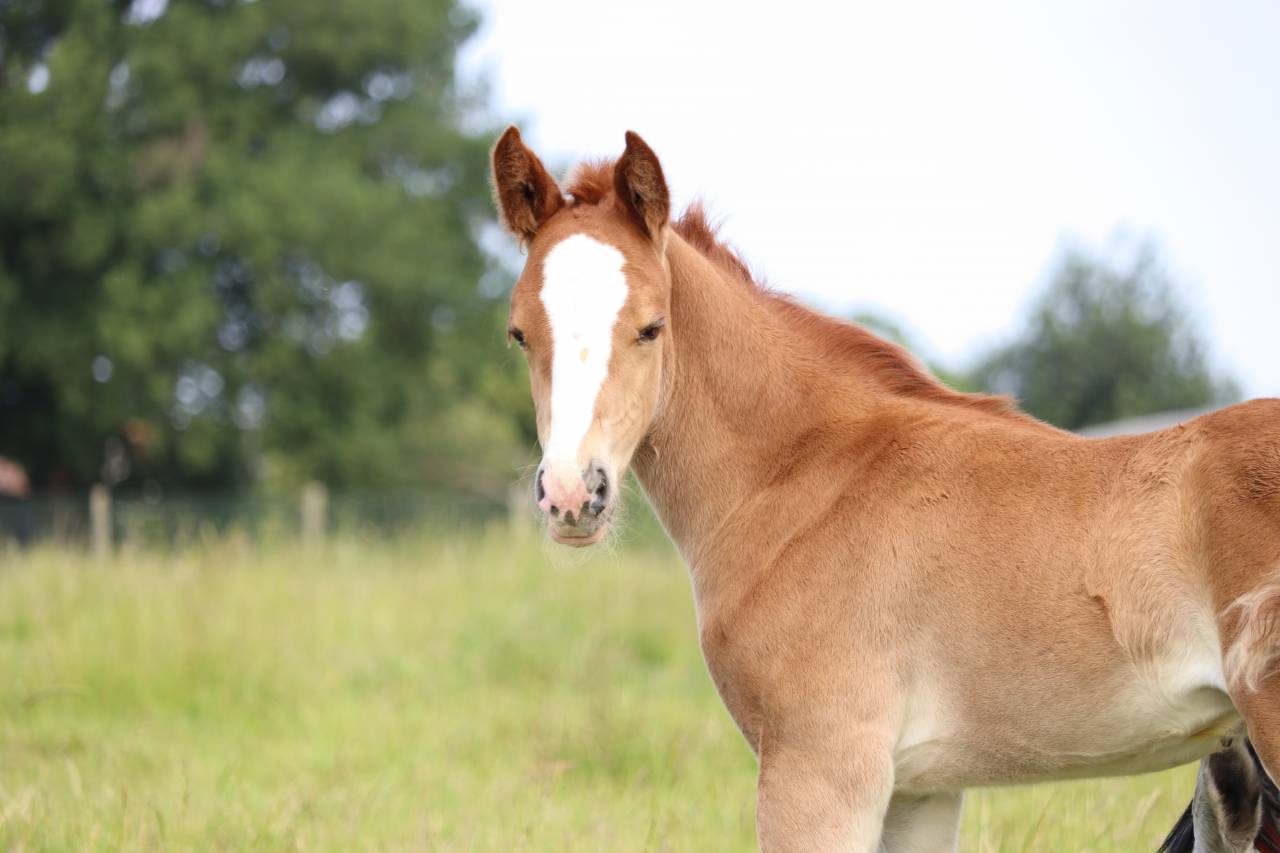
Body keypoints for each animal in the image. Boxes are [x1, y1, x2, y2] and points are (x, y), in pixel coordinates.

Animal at [491, 126, 1280, 851]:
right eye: (520, 334)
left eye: (651, 328)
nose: (573, 493)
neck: (804, 476)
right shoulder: (918, 788)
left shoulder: (820, 769)